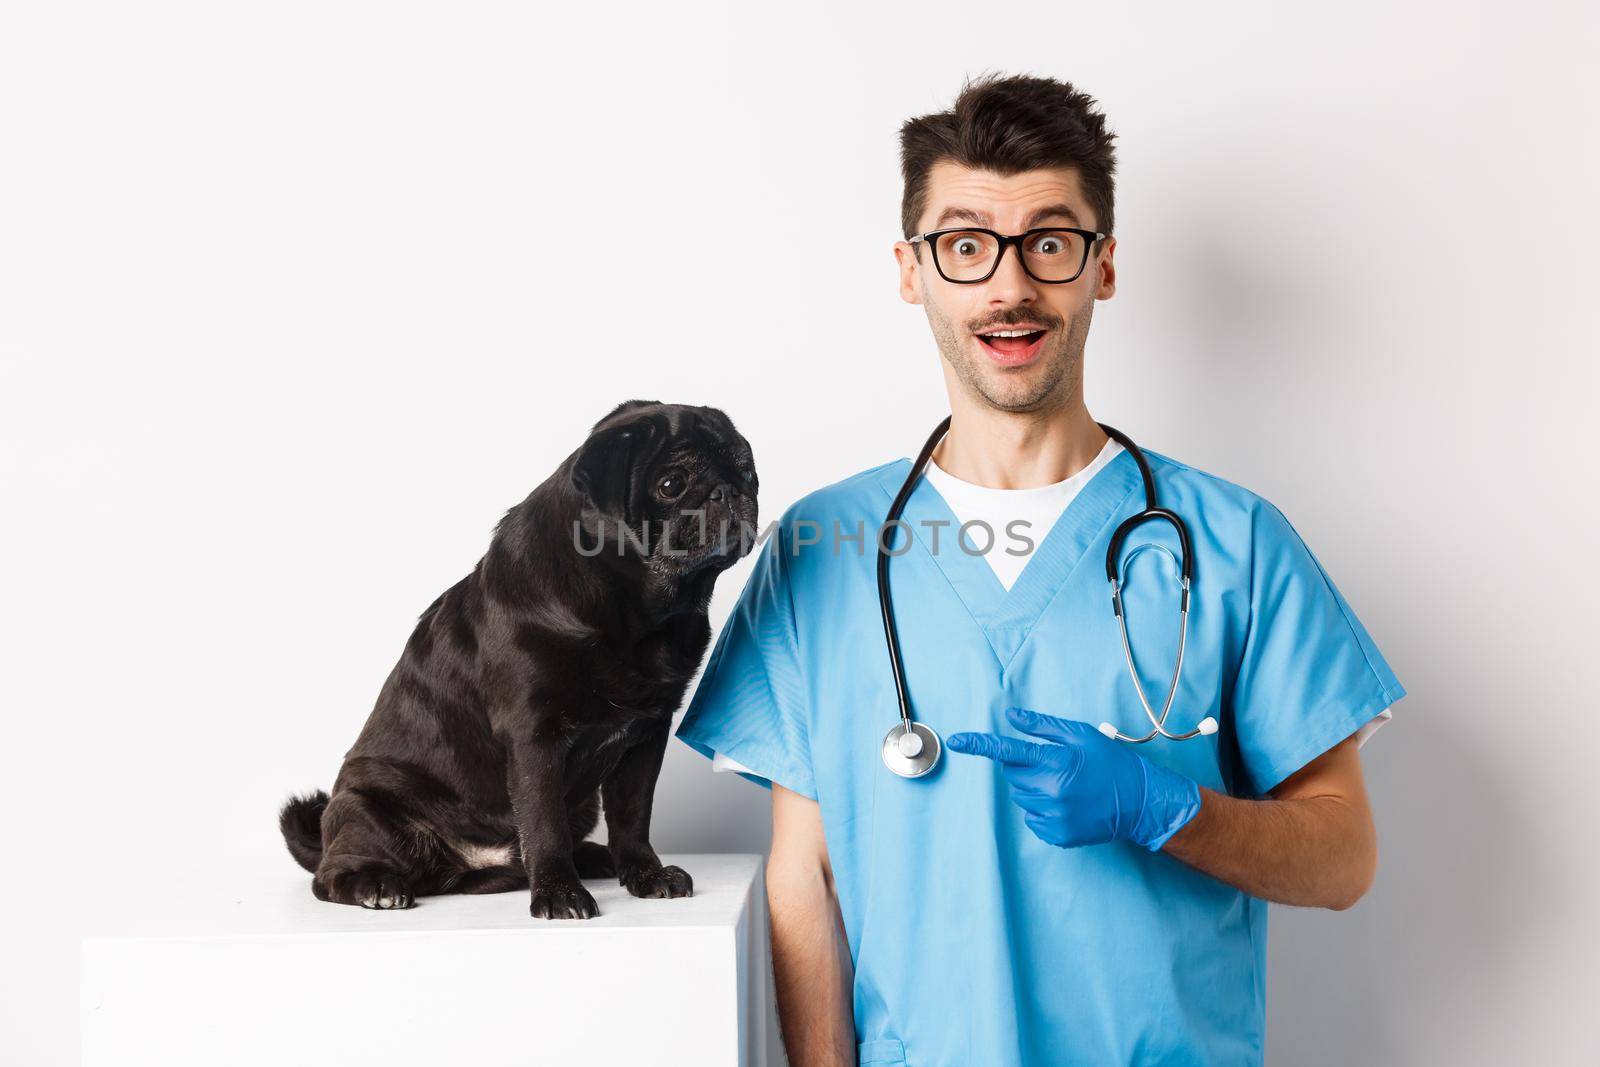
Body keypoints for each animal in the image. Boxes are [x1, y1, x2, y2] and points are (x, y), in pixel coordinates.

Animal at [278, 399, 758, 921]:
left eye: (747, 471)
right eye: (671, 484)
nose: (729, 490)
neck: (632, 611)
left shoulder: (645, 737)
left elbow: (632, 817)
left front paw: (645, 875)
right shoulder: (534, 737)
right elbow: (544, 823)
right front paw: (559, 893)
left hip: (580, 807)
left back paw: (593, 858)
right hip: (367, 811)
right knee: (330, 877)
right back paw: (377, 886)